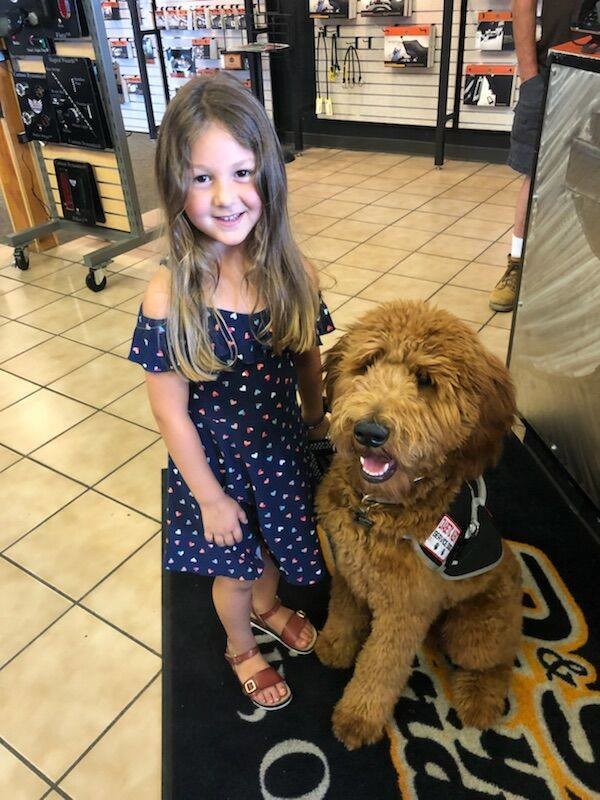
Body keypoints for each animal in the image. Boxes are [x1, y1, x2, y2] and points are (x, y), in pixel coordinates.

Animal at [315, 300, 522, 750]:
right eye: (368, 363)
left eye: (425, 380)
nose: (369, 431)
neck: (377, 510)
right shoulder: (348, 573)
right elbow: (343, 611)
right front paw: (335, 645)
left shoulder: (403, 611)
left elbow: (380, 666)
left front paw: (358, 717)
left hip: (477, 630)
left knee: (497, 663)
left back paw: (479, 701)